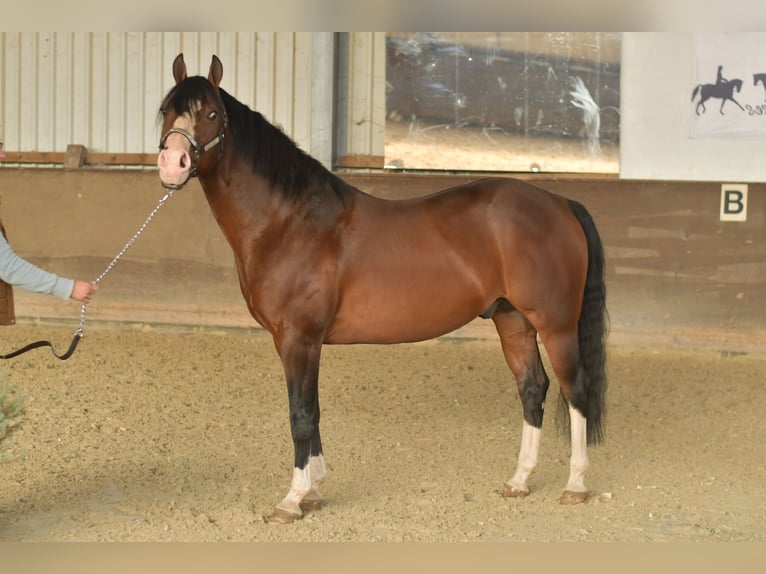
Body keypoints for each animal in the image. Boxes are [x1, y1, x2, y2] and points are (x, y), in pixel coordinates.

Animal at [157, 54, 608, 524]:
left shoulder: (298, 339)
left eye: (211, 114)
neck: (290, 222)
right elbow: (314, 412)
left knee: (576, 390)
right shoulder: (304, 343)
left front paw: (293, 499)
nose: (172, 164)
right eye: (166, 109)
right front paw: (314, 489)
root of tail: (560, 204)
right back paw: (519, 480)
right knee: (532, 388)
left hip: (556, 325)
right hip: (513, 320)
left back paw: (575, 485)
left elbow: (301, 415)